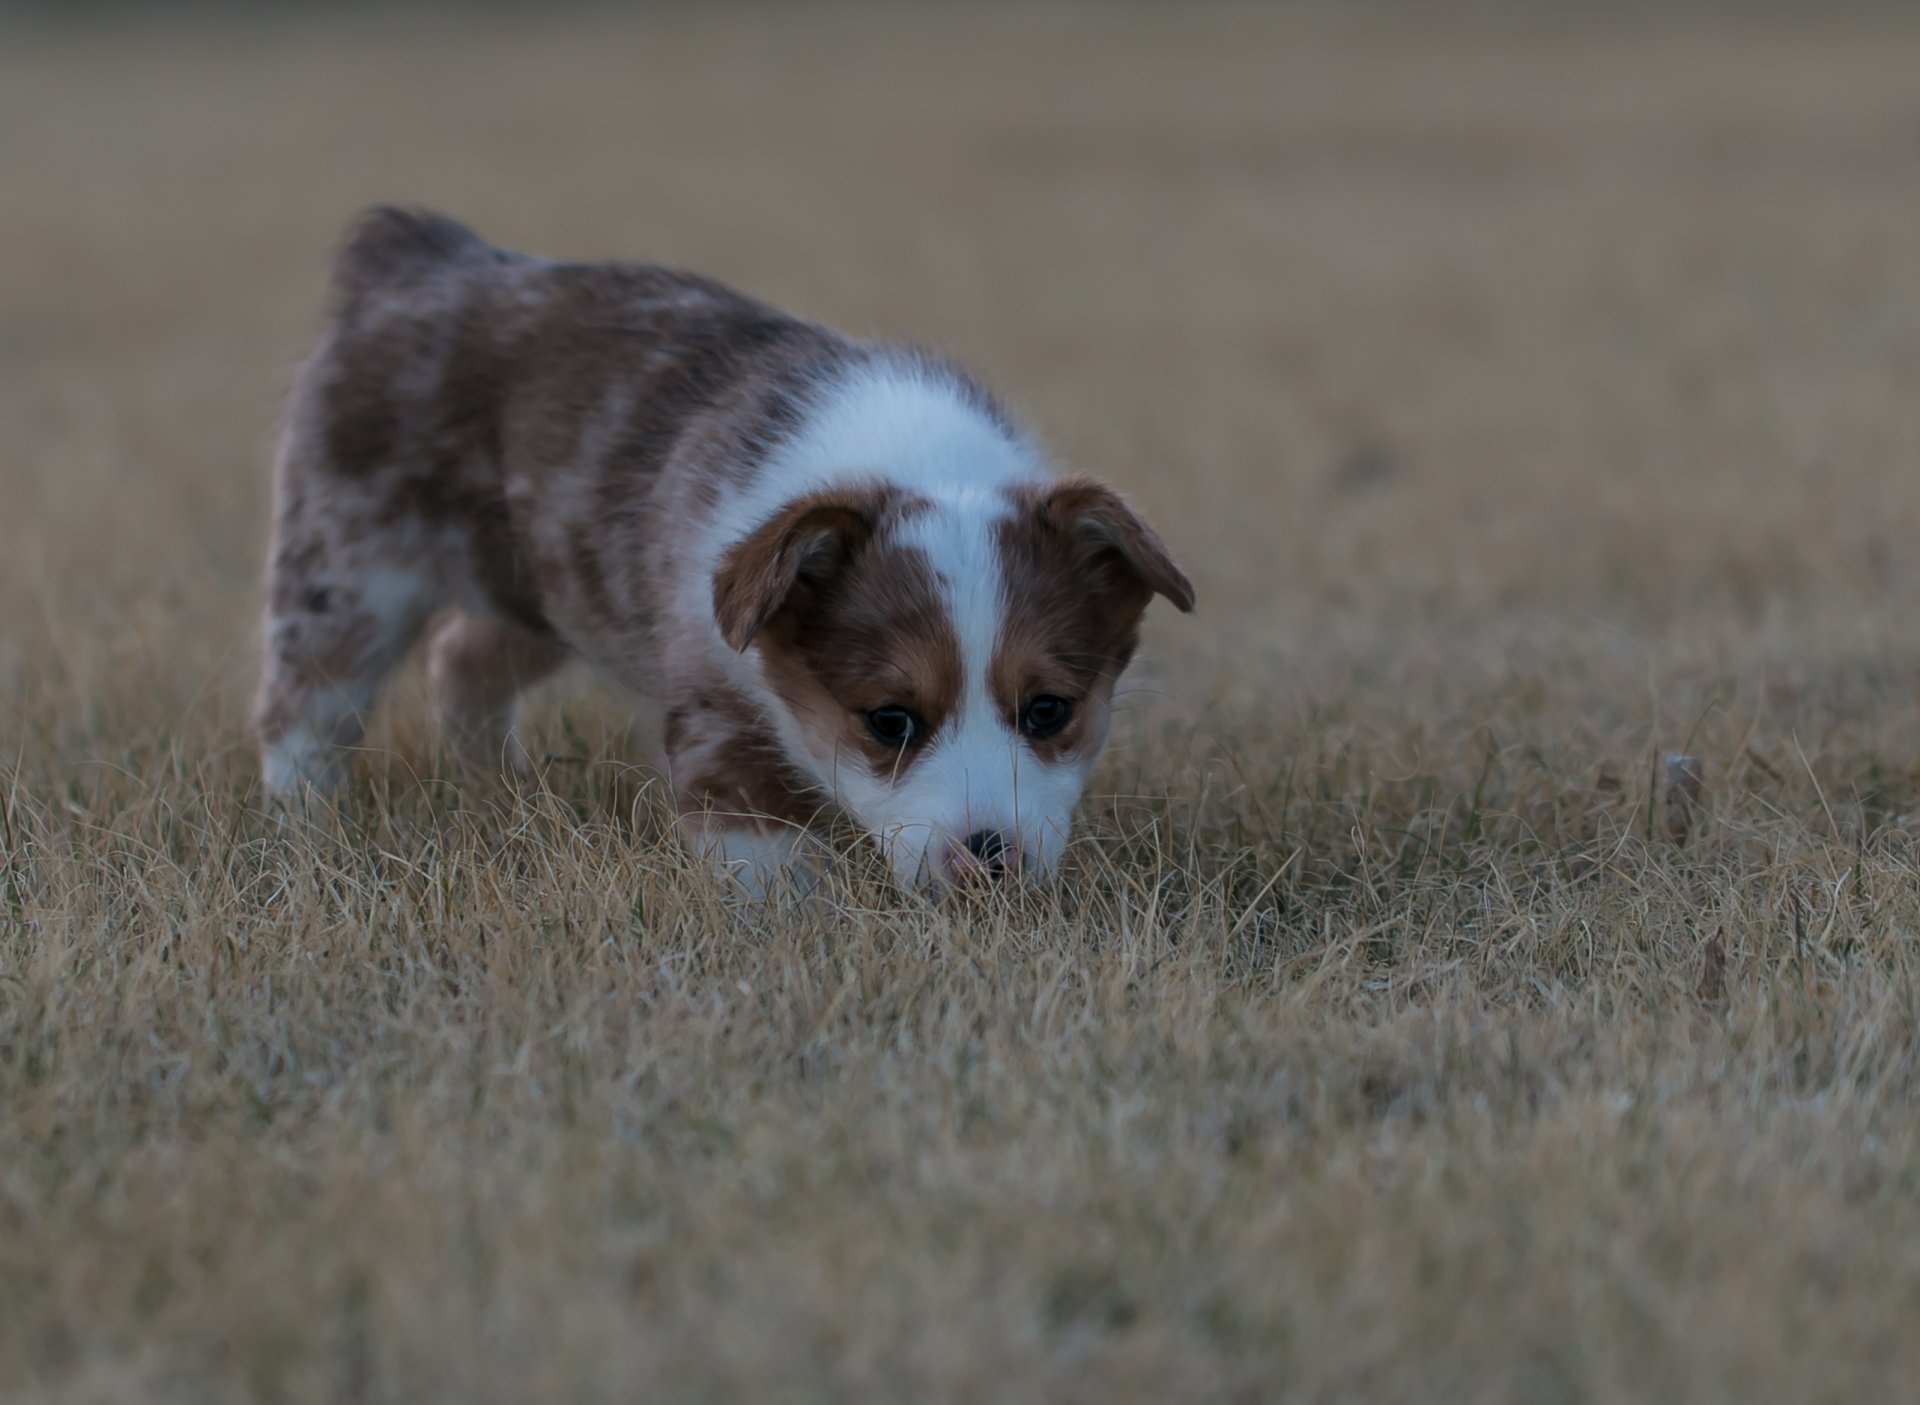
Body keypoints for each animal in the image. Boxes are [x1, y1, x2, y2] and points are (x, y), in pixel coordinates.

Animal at [255, 208, 1182, 890]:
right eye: (889, 720)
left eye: (1049, 710)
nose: (989, 860)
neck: (916, 462)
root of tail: (414, 258)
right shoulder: (713, 706)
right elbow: (758, 845)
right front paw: (789, 919)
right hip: (346, 568)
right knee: (304, 702)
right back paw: (304, 819)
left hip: (544, 585)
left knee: (462, 658)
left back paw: (501, 781)